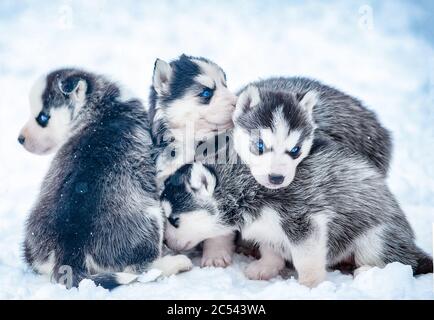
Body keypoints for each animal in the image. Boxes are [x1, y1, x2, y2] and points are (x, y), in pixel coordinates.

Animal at [18, 69, 192, 288]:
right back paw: (177, 262)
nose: (20, 139)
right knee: (140, 270)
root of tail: (69, 250)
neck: (103, 106)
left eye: (42, 117)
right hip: (150, 217)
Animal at [161, 87, 432, 288]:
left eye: (174, 219)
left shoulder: (304, 221)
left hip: (376, 238)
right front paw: (266, 267)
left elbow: (307, 260)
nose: (167, 246)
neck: (244, 186)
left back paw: (366, 272)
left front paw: (309, 287)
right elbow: (271, 248)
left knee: (393, 260)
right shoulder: (267, 227)